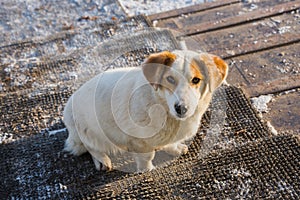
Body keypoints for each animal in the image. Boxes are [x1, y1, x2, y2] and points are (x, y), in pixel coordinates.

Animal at [63, 50, 227, 172]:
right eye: (170, 79)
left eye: (196, 80)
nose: (181, 108)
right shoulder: (139, 141)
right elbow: (147, 157)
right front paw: (147, 169)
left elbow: (171, 143)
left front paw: (175, 148)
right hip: (92, 133)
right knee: (91, 147)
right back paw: (102, 161)